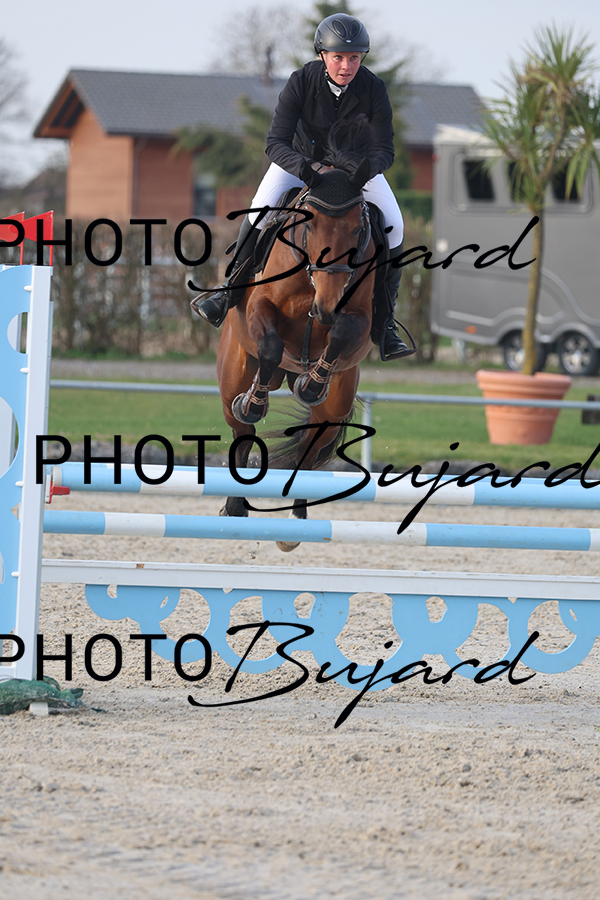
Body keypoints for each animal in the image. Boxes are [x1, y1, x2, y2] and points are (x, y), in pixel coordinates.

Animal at [216, 117, 379, 551]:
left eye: (357, 229)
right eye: (311, 222)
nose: (326, 306)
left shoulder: (360, 320)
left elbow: (342, 333)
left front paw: (313, 382)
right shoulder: (260, 309)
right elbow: (272, 343)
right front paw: (254, 404)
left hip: (335, 409)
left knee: (310, 448)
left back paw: (296, 520)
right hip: (234, 374)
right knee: (242, 429)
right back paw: (235, 503)